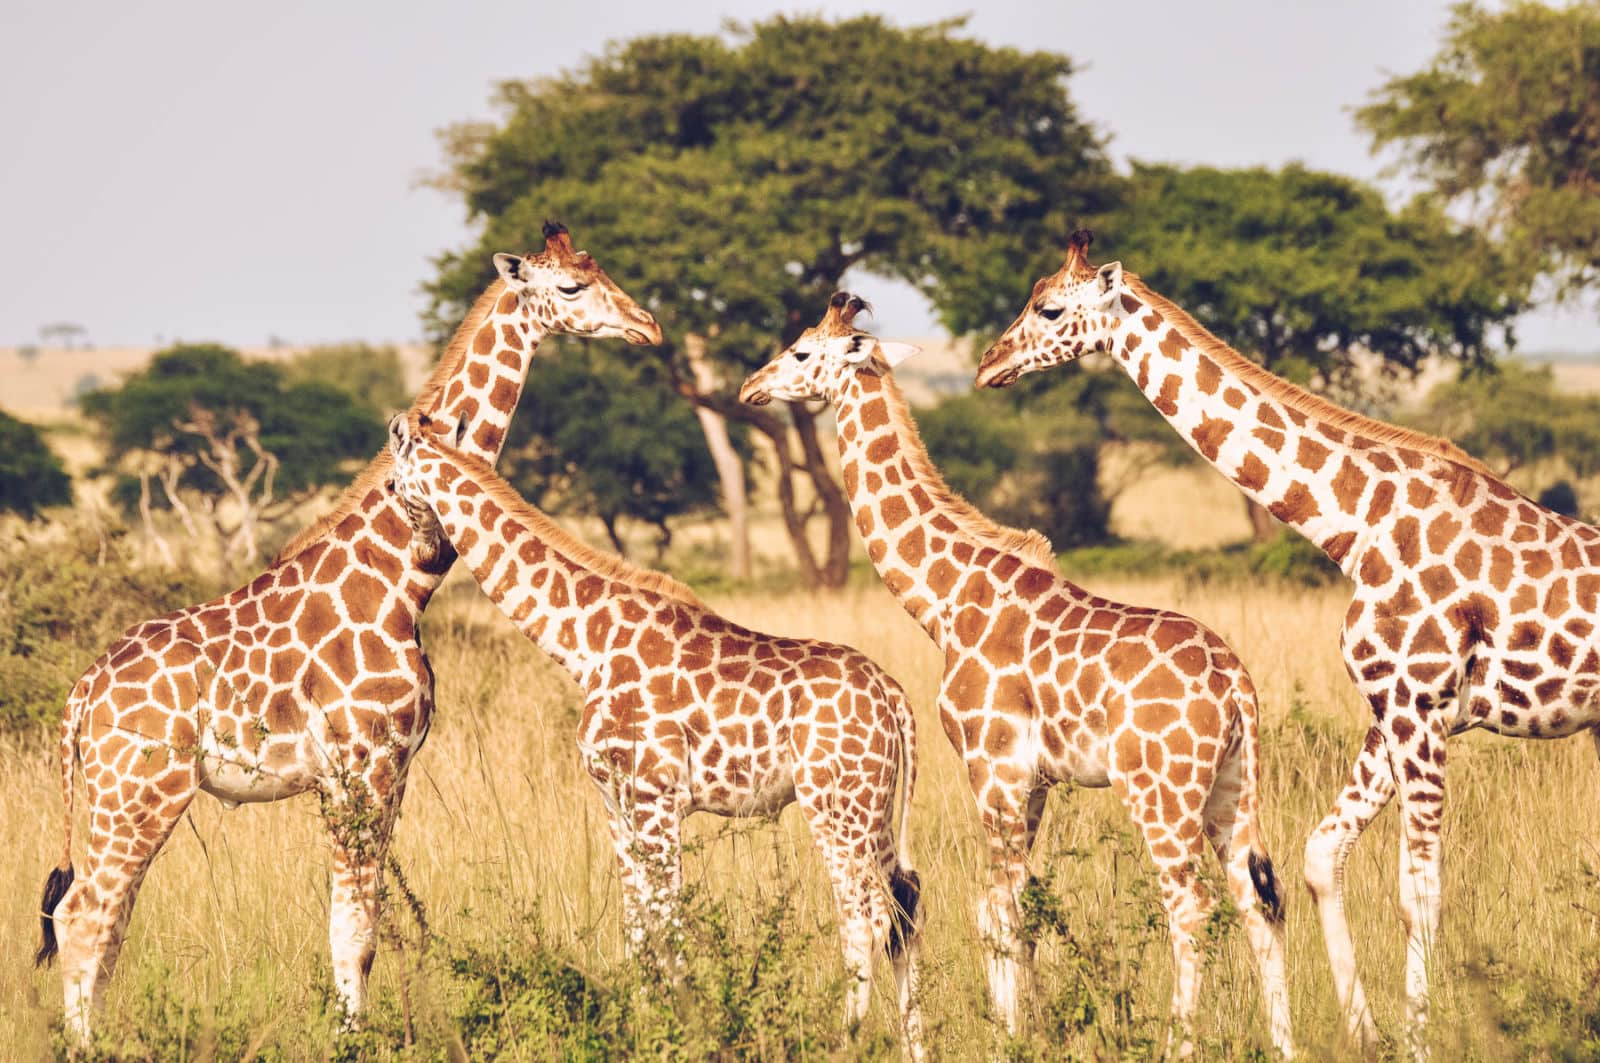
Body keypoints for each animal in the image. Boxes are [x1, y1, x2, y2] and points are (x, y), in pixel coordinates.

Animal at [36, 219, 662, 1043]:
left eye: (601, 268)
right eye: (571, 286)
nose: (648, 326)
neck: (402, 578)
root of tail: (80, 697)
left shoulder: (380, 771)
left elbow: (354, 922)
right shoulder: (365, 764)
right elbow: (356, 929)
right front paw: (350, 1040)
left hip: (126, 793)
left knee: (105, 915)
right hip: (139, 788)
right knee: (85, 912)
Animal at [380, 409, 928, 1050]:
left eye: (394, 486)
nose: (423, 552)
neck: (582, 644)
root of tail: (894, 696)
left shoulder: (655, 797)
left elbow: (669, 923)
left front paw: (683, 1031)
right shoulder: (615, 802)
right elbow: (637, 925)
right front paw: (644, 1025)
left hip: (834, 806)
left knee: (865, 914)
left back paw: (847, 1037)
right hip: (875, 806)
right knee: (904, 906)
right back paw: (916, 1045)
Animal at [742, 291, 1292, 1056]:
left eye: (800, 350)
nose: (750, 388)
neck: (944, 598)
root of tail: (1236, 685)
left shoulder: (991, 766)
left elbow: (994, 907)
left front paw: (1010, 1037)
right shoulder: (1032, 782)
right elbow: (1021, 906)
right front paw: (1028, 1028)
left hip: (1162, 791)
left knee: (1192, 905)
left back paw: (1176, 1043)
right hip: (1232, 789)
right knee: (1257, 901)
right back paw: (1287, 1043)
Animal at [966, 230, 1600, 1056]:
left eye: (1049, 307)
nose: (988, 363)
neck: (1355, 527)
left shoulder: (1419, 706)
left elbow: (1418, 890)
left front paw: (1418, 1038)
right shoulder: (1403, 709)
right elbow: (1321, 857)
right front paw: (1365, 1031)